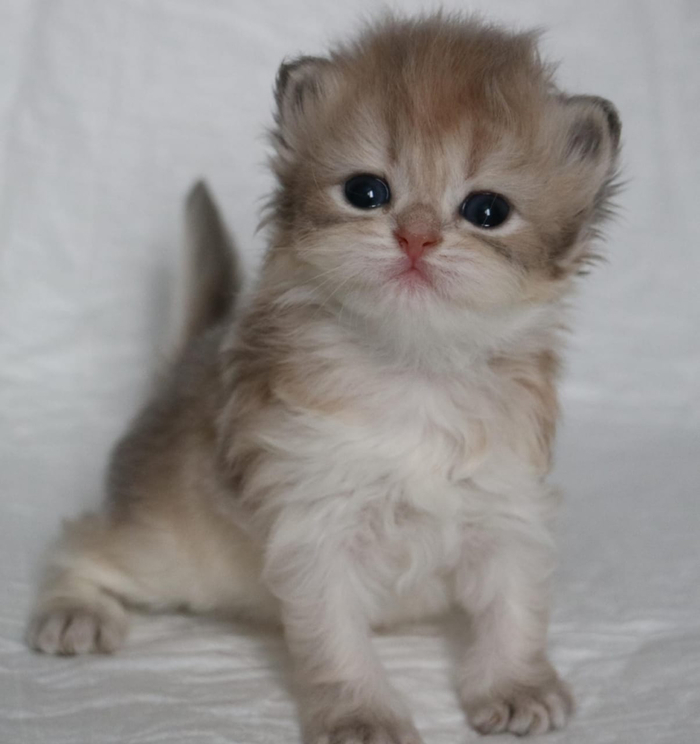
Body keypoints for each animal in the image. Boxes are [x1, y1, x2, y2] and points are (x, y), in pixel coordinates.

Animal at [27, 13, 620, 744]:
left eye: (486, 210)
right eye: (367, 192)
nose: (416, 237)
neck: (413, 368)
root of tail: (187, 356)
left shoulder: (507, 508)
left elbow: (513, 607)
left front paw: (516, 684)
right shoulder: (315, 526)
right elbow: (336, 642)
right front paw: (361, 712)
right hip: (163, 546)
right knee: (78, 540)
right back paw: (73, 610)